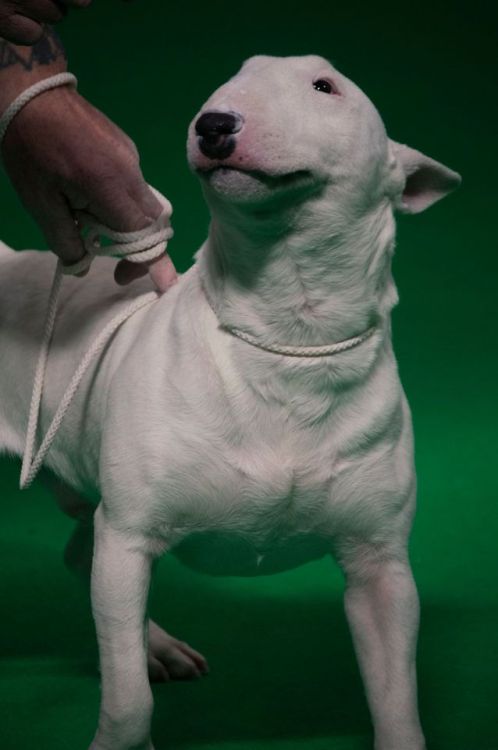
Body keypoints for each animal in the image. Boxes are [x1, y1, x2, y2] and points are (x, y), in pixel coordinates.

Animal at [0, 55, 460, 748]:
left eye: (326, 87)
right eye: (227, 84)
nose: (214, 125)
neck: (289, 334)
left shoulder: (380, 565)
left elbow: (398, 704)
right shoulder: (131, 534)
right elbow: (128, 701)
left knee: (82, 555)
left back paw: (155, 646)